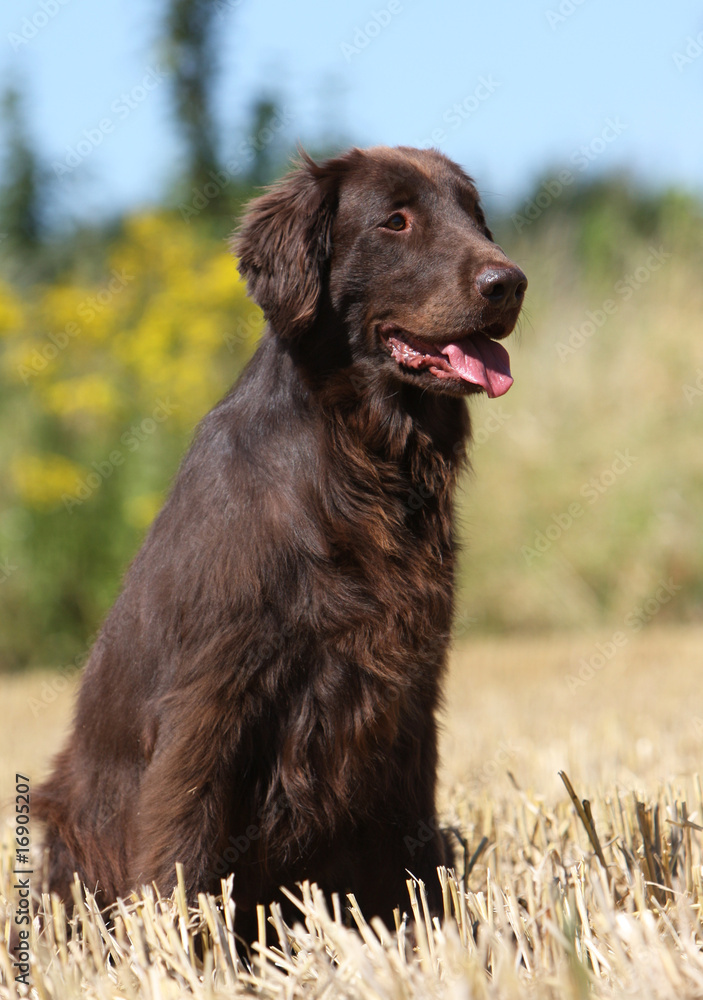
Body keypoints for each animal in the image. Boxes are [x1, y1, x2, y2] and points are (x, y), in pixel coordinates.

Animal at [35, 145, 524, 932]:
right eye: (394, 220)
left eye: (474, 217)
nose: (508, 283)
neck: (357, 460)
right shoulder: (214, 694)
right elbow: (183, 843)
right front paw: (189, 951)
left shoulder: (408, 689)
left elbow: (413, 846)